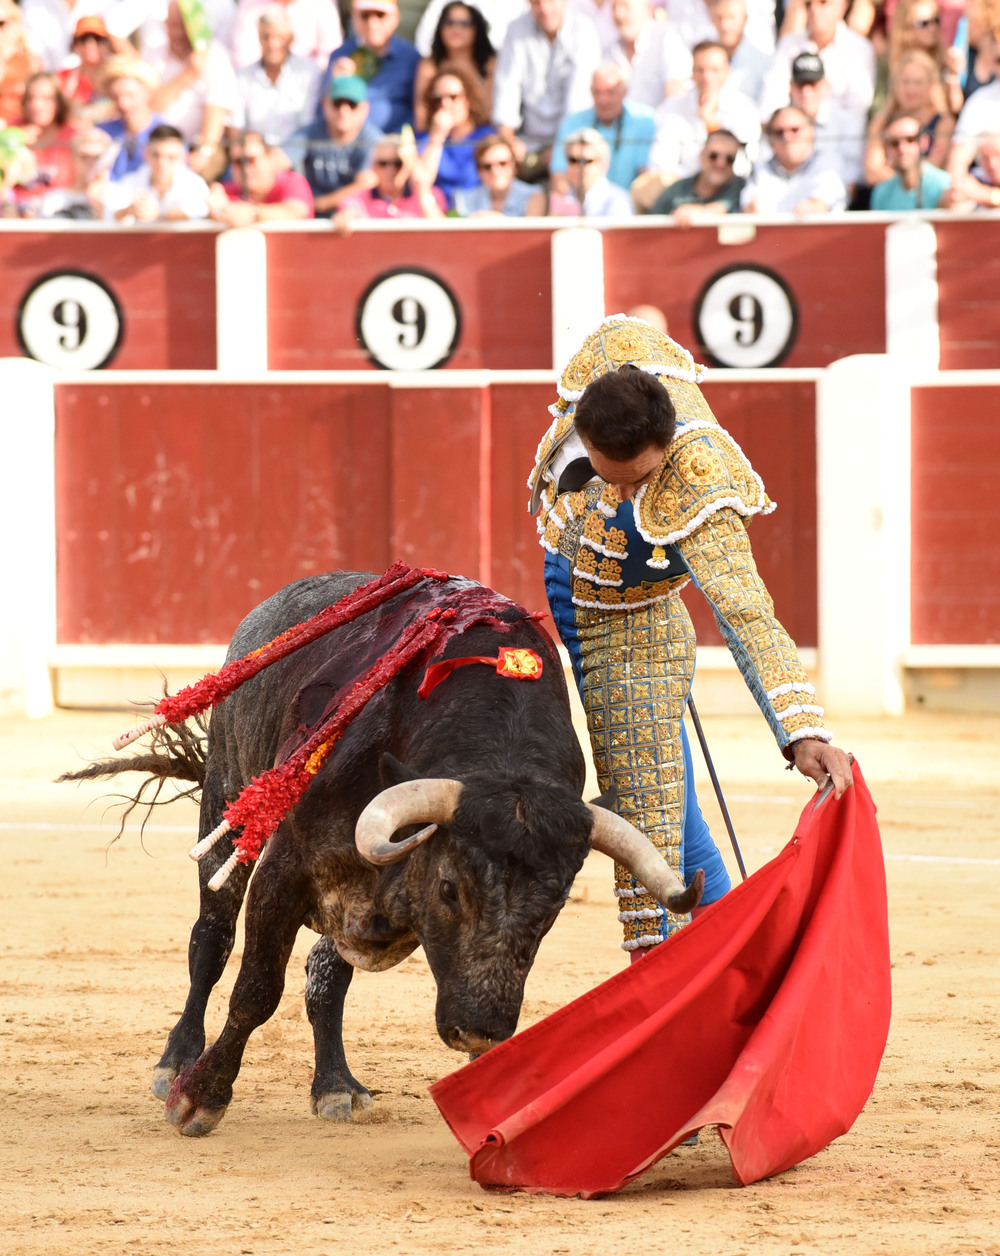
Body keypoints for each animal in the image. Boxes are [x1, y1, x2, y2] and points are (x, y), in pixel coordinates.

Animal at [66, 575, 698, 1135]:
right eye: (449, 889)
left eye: (553, 909)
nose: (479, 1031)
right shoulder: (285, 873)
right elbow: (256, 990)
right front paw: (200, 1098)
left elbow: (323, 980)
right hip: (228, 799)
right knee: (211, 940)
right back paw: (175, 1062)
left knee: (323, 979)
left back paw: (336, 1086)